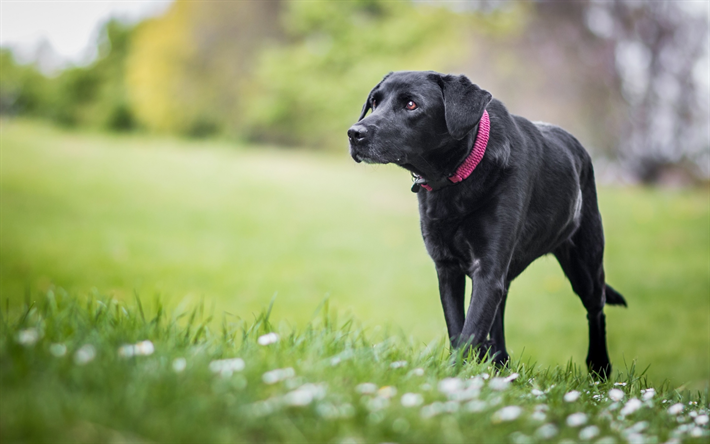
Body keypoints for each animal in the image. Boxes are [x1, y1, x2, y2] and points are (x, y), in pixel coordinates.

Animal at [348, 71, 624, 376]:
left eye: (411, 104)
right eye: (374, 102)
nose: (354, 133)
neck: (457, 177)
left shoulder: (488, 271)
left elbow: (470, 331)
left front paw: (454, 377)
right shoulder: (447, 268)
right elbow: (458, 328)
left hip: (585, 264)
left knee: (596, 310)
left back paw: (599, 367)